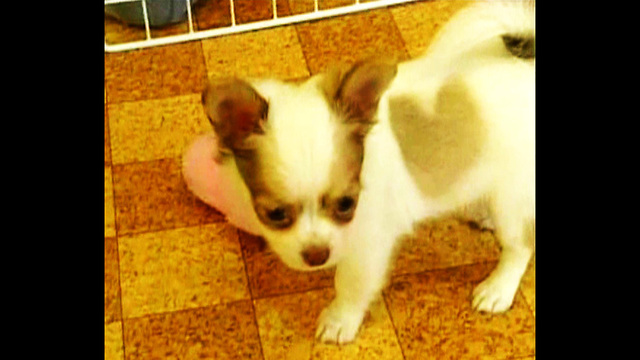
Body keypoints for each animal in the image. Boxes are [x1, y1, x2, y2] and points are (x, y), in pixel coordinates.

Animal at [200, 0, 536, 344]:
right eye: (276, 214)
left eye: (347, 204)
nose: (317, 255)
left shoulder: (368, 244)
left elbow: (350, 284)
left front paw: (340, 321)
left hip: (512, 198)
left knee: (520, 245)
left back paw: (498, 290)